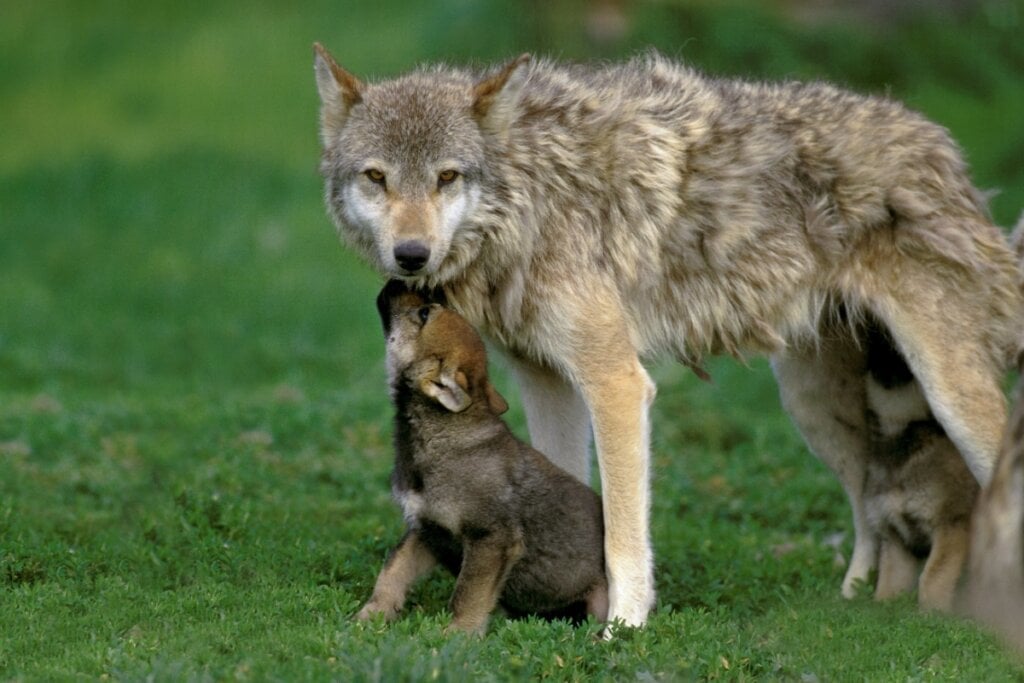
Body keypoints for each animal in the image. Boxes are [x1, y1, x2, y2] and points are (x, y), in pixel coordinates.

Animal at [356, 278, 602, 634]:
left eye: (424, 313)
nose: (398, 279)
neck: (442, 435)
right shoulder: (426, 530)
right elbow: (393, 571)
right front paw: (371, 615)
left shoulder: (491, 538)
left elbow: (467, 592)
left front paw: (458, 633)